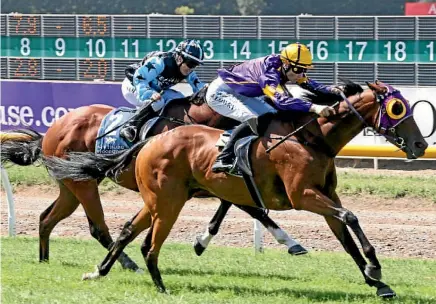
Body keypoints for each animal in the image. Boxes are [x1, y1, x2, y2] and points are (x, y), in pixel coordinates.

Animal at [3, 87, 308, 268]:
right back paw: (127, 264)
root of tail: (54, 128)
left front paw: (201, 242)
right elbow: (250, 208)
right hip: (83, 184)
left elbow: (235, 206)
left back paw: (44, 259)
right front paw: (292, 243)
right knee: (96, 227)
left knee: (47, 217)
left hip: (71, 183)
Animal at [43, 80, 426, 296]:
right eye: (397, 108)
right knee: (110, 230)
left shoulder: (323, 195)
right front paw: (374, 267)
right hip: (123, 193)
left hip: (130, 195)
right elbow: (350, 217)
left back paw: (97, 269)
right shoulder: (302, 196)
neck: (311, 138)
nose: (421, 145)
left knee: (112, 228)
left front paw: (376, 281)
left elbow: (345, 233)